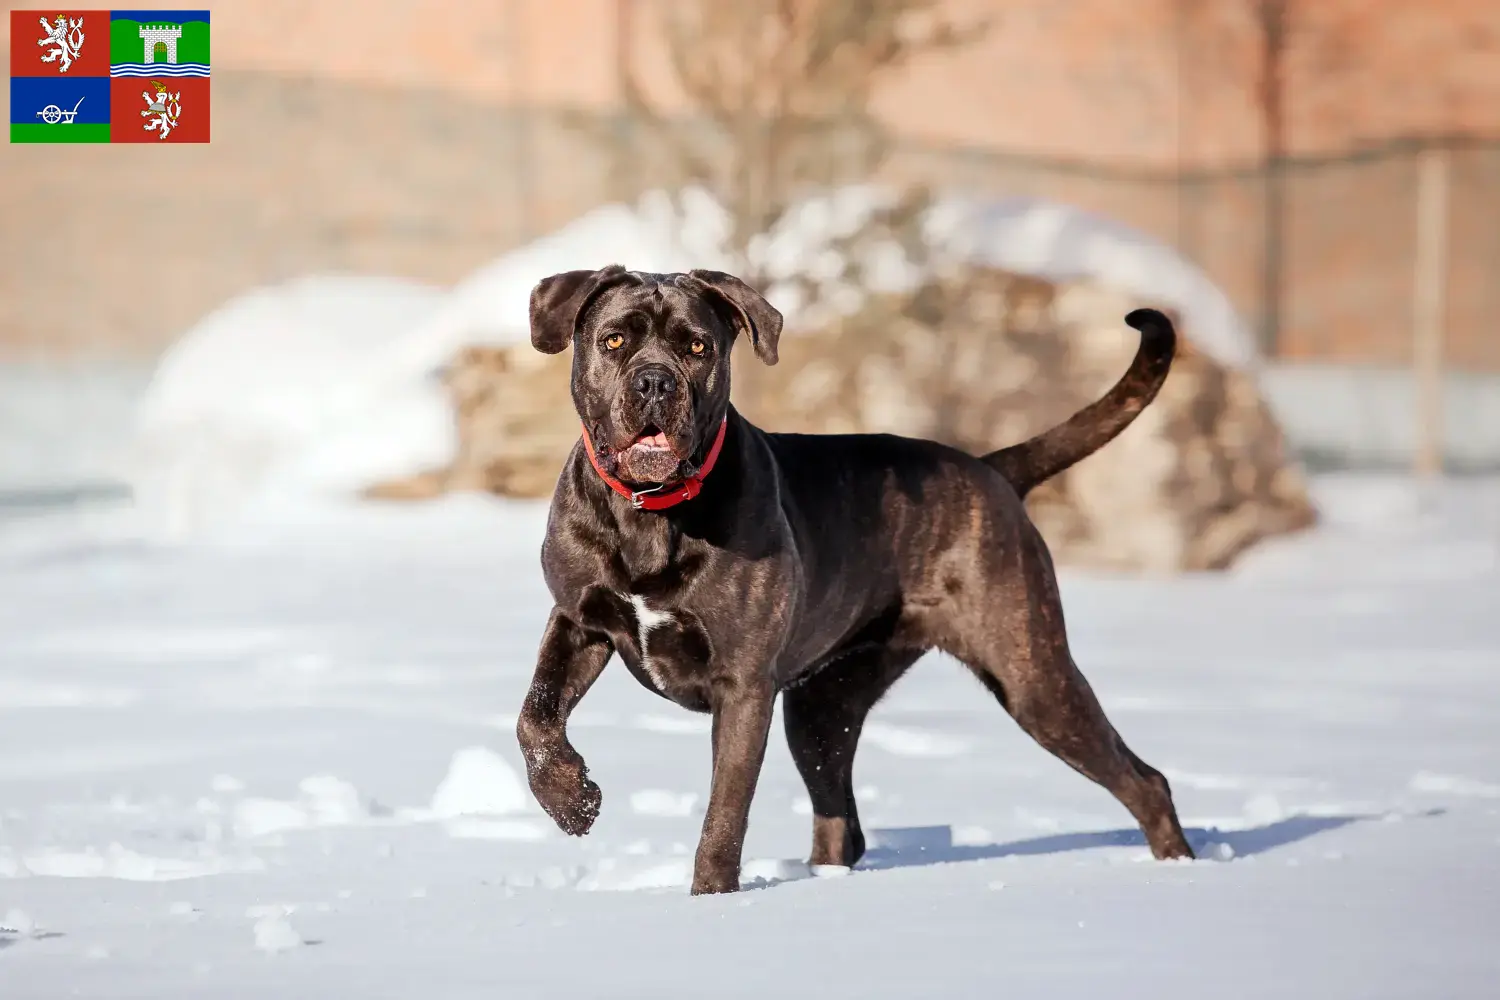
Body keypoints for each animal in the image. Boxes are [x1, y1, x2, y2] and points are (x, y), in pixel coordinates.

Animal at [516, 263, 1194, 893]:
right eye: (613, 341)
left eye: (697, 347)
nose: (655, 380)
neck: (649, 514)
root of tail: (991, 470)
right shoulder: (577, 621)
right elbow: (536, 716)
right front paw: (573, 803)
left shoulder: (743, 686)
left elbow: (725, 812)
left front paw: (711, 897)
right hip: (823, 707)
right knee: (840, 818)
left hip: (1031, 675)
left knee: (1145, 780)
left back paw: (1181, 867)